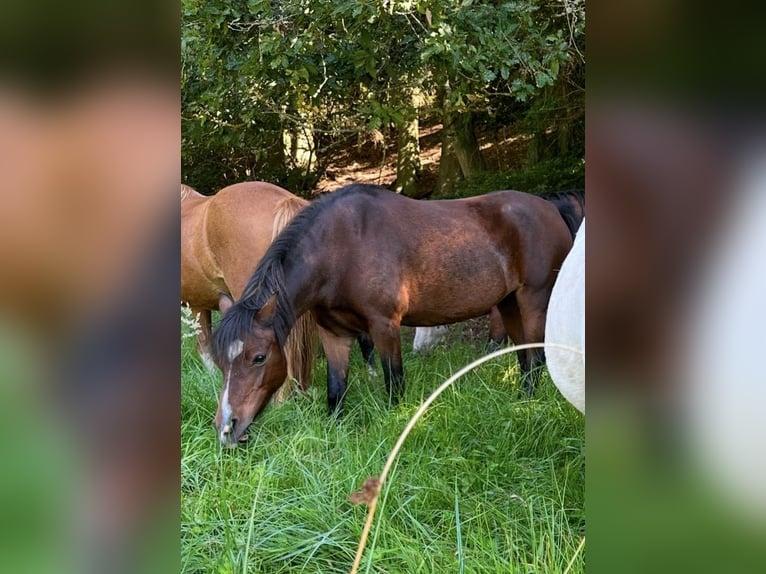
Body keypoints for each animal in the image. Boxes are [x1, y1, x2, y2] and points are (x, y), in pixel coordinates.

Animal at [213, 184, 572, 446]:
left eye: (259, 357)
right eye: (218, 363)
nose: (227, 428)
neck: (341, 247)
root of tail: (551, 209)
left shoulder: (384, 326)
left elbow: (393, 384)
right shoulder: (334, 334)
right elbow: (336, 390)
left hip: (534, 299)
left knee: (536, 358)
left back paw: (527, 406)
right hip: (509, 303)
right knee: (524, 356)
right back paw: (519, 402)